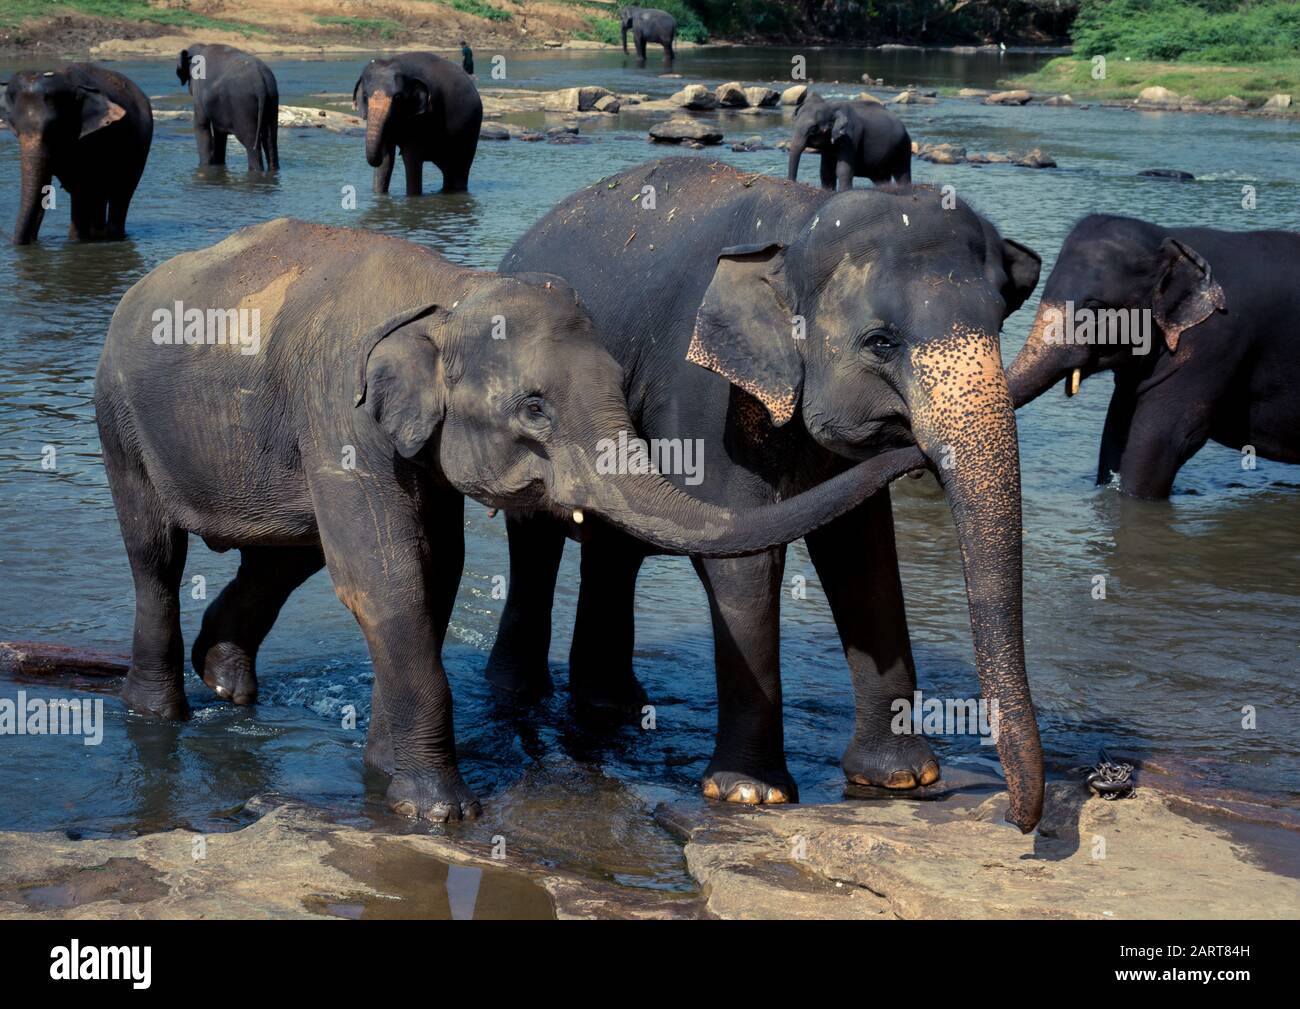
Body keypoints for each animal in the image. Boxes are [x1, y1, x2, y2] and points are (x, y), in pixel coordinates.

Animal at [0, 64, 152, 245]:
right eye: (15, 127)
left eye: (55, 128)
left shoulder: (93, 138)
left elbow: (83, 188)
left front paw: (76, 241)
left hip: (140, 150)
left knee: (119, 194)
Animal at [94, 217, 931, 822]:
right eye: (534, 409)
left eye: (621, 388)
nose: (913, 443)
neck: (451, 293)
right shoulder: (338, 406)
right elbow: (386, 576)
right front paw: (440, 809)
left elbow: (435, 568)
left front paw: (387, 774)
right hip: (119, 418)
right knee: (155, 554)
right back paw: (158, 710)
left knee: (285, 549)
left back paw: (225, 680)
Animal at [177, 43, 279, 172]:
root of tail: (260, 83)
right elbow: (219, 132)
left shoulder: (198, 94)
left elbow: (201, 125)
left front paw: (205, 166)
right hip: (272, 99)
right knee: (270, 140)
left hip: (243, 105)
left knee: (250, 143)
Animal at [352, 53, 482, 195]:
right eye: (365, 96)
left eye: (397, 98)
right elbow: (386, 160)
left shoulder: (423, 117)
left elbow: (411, 158)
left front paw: (412, 196)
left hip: (469, 133)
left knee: (459, 170)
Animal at [494, 158, 1047, 832]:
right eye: (881, 342)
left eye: (998, 323)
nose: (1019, 821)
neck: (802, 219)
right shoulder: (705, 395)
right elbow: (744, 558)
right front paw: (749, 794)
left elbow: (864, 555)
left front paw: (901, 778)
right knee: (534, 547)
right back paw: (518, 695)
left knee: (614, 550)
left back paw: (612, 705)